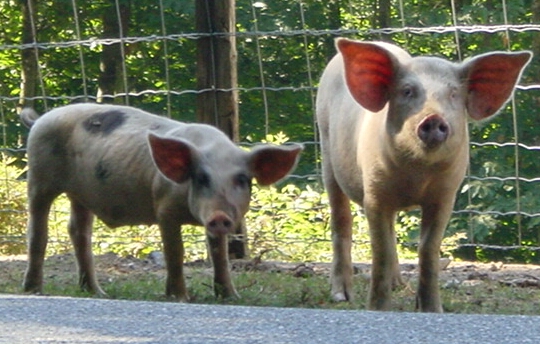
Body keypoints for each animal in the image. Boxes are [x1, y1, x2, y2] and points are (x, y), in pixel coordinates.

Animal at [316, 39, 532, 314]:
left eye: (453, 93)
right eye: (407, 91)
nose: (433, 118)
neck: (416, 175)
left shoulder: (445, 195)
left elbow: (428, 248)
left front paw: (431, 309)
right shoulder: (374, 193)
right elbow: (380, 250)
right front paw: (378, 309)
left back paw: (398, 284)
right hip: (326, 150)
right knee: (341, 221)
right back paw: (341, 296)